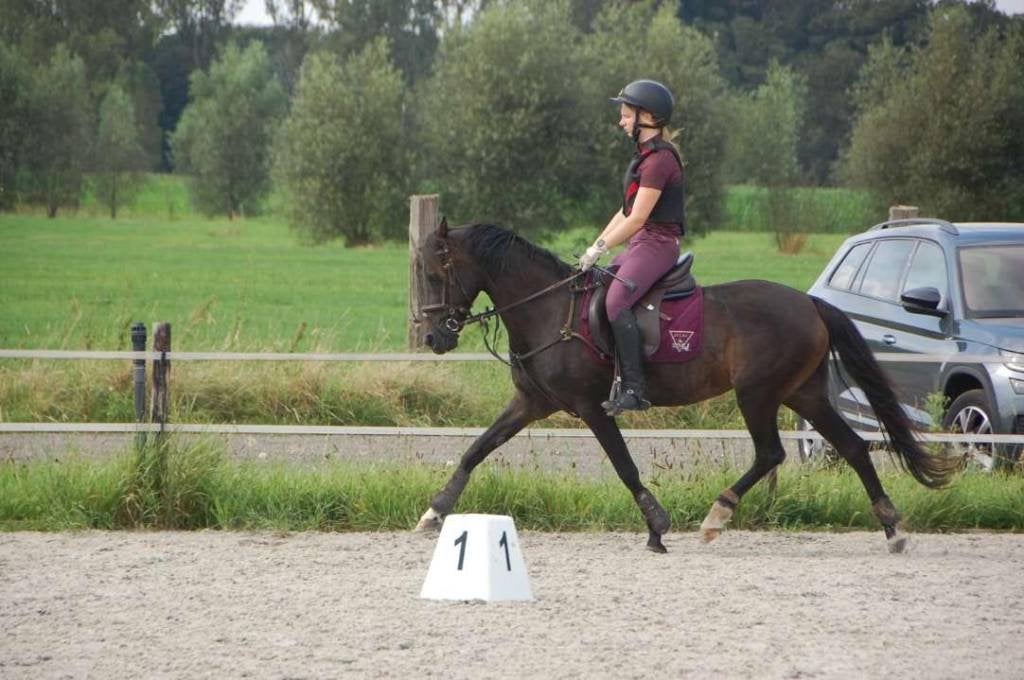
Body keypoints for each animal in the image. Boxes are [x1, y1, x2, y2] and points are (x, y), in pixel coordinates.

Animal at [413, 219, 957, 553]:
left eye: (434, 273)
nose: (433, 337)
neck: (548, 309)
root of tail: (810, 303)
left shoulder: (592, 406)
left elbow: (625, 466)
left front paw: (657, 527)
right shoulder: (531, 402)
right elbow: (476, 450)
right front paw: (434, 513)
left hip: (758, 392)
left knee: (771, 453)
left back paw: (717, 515)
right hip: (803, 393)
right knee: (852, 446)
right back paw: (892, 529)